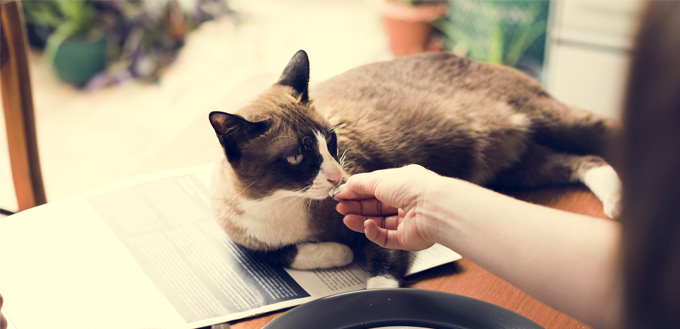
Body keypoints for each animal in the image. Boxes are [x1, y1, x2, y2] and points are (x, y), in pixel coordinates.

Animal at [207, 48, 620, 288]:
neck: (281, 203)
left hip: (555, 121)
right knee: (583, 162)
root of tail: (462, 55)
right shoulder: (243, 241)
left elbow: (381, 279)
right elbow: (277, 254)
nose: (338, 177)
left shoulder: (382, 224)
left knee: (604, 133)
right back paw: (615, 200)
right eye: (296, 158)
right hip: (518, 172)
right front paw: (338, 254)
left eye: (331, 140)